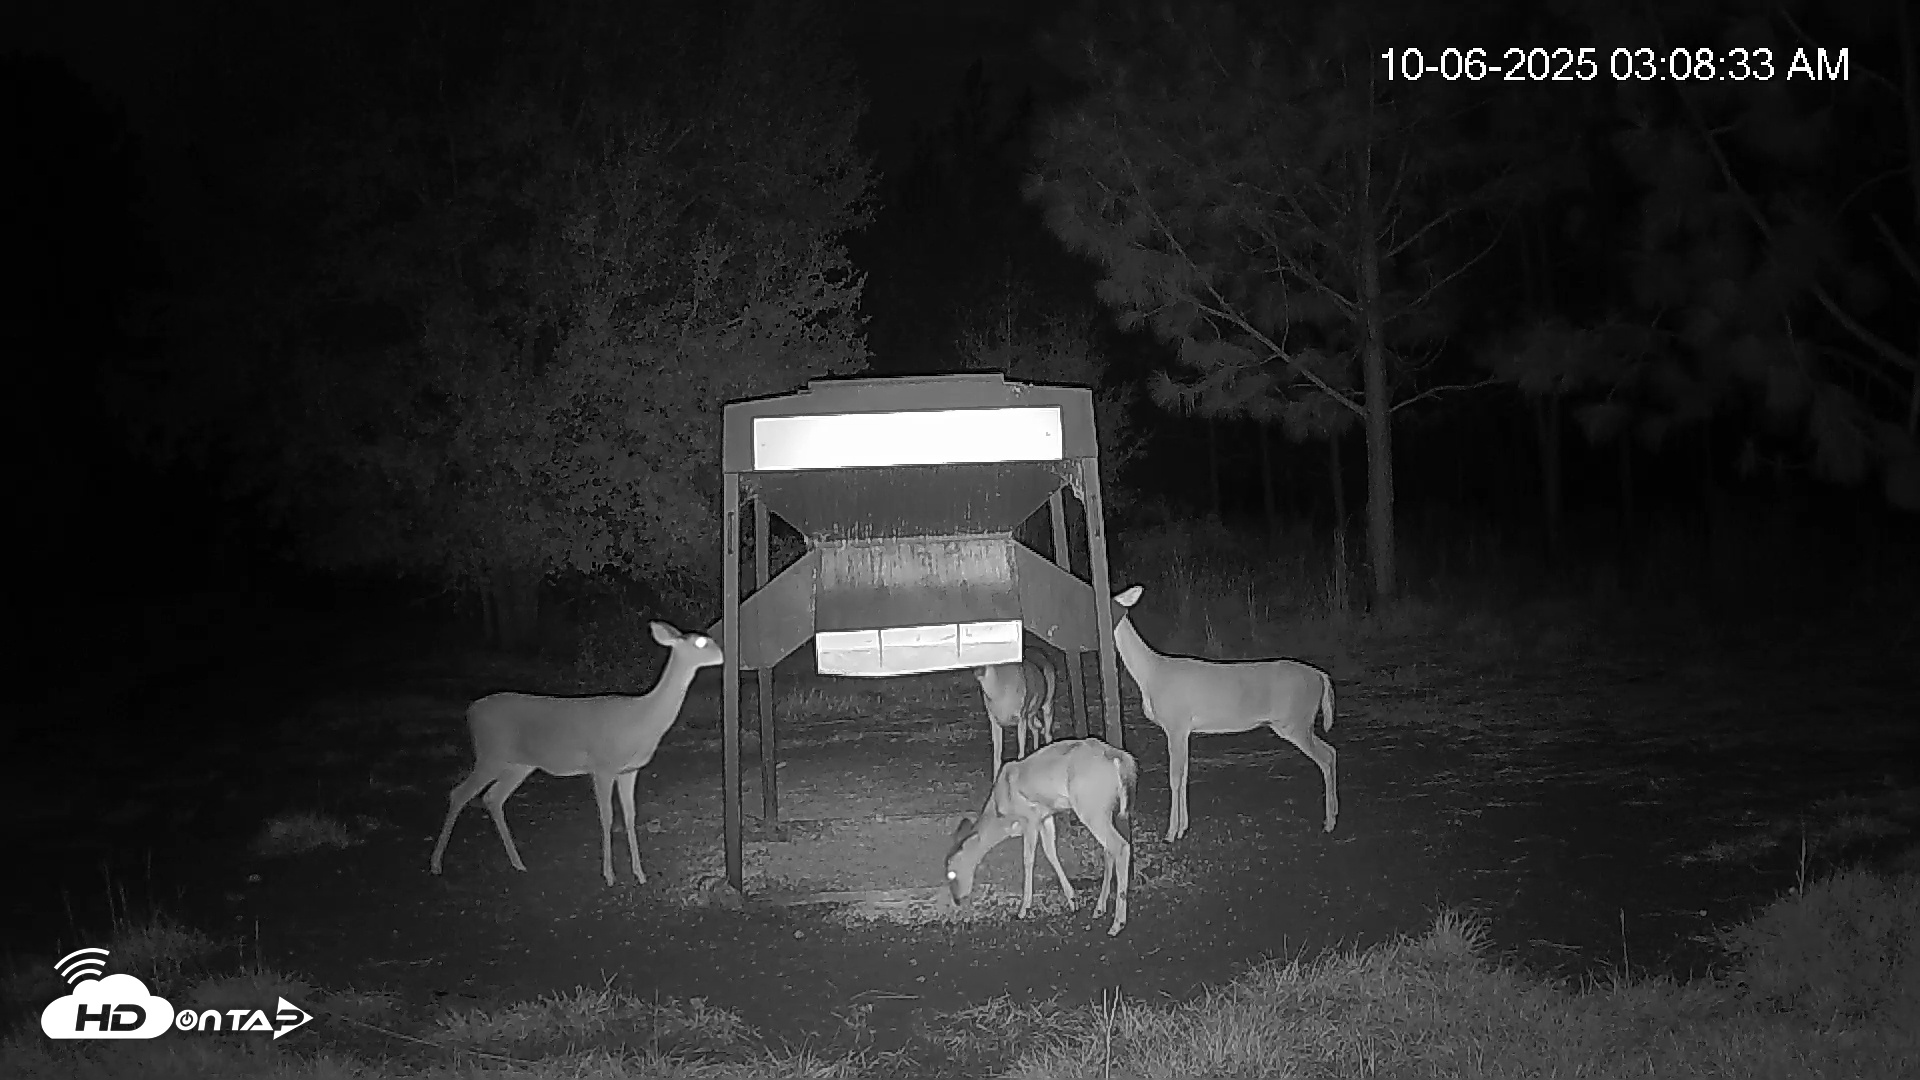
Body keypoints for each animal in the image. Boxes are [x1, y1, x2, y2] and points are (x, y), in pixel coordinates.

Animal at [429, 620, 723, 886]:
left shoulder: (629, 770)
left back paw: (518, 863)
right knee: (459, 793)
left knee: (492, 798)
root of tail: (470, 711)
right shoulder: (602, 766)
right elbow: (607, 816)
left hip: (518, 764)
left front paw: (640, 874)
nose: (722, 654)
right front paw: (609, 875)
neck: (642, 718)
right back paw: (436, 864)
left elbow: (630, 816)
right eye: (700, 642)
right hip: (490, 754)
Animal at [944, 737, 1138, 937]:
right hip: (1104, 809)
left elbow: (1028, 860)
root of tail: (1118, 757)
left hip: (1090, 806)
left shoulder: (1030, 817)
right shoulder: (1046, 817)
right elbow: (1051, 852)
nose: (957, 900)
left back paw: (1117, 924)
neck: (1001, 814)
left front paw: (1024, 909)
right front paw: (1072, 901)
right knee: (1109, 850)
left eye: (951, 872)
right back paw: (1099, 909)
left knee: (1120, 846)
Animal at [1110, 584, 1337, 842]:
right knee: (1331, 751)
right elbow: (1185, 774)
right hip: (1300, 723)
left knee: (1326, 757)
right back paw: (1332, 816)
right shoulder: (1185, 730)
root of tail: (1321, 676)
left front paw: (1170, 833)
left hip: (1296, 722)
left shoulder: (1175, 723)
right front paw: (1183, 827)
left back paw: (1329, 823)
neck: (1151, 673)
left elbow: (1175, 778)